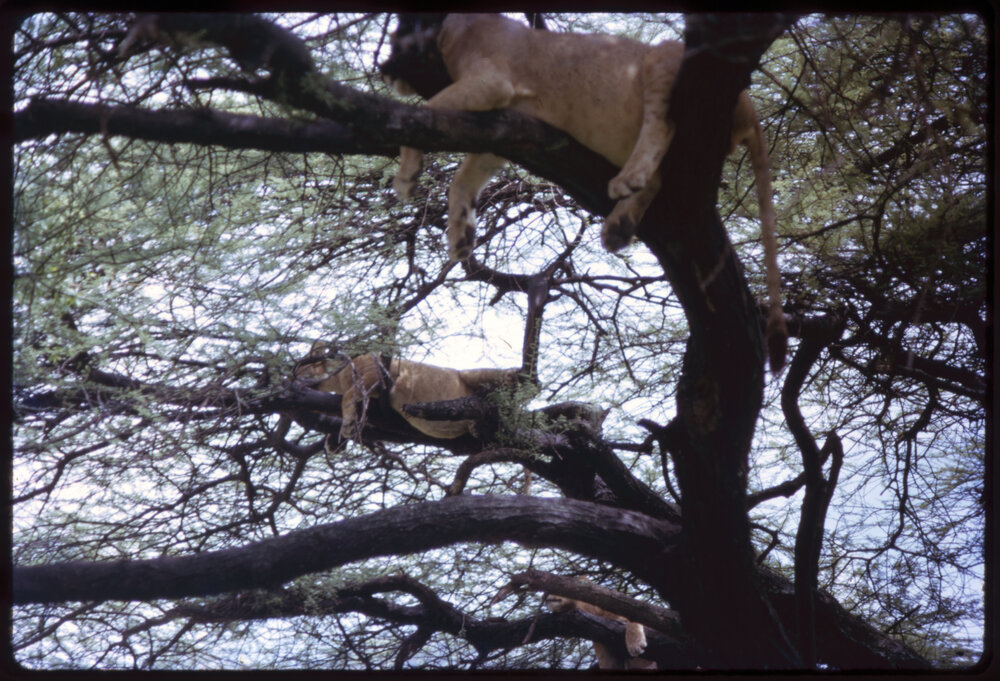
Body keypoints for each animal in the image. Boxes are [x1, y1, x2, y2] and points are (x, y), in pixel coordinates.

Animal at [293, 343, 523, 441]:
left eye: (299, 368)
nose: (290, 379)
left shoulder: (378, 374)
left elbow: (349, 395)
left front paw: (348, 426)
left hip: (472, 375)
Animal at [381, 13, 787, 371]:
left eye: (399, 32)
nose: (382, 67)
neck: (454, 30)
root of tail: (749, 104)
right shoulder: (501, 128)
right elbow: (462, 180)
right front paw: (460, 237)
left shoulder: (492, 81)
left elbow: (425, 109)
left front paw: (406, 174)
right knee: (658, 178)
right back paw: (619, 226)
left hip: (661, 57)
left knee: (663, 124)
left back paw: (628, 179)